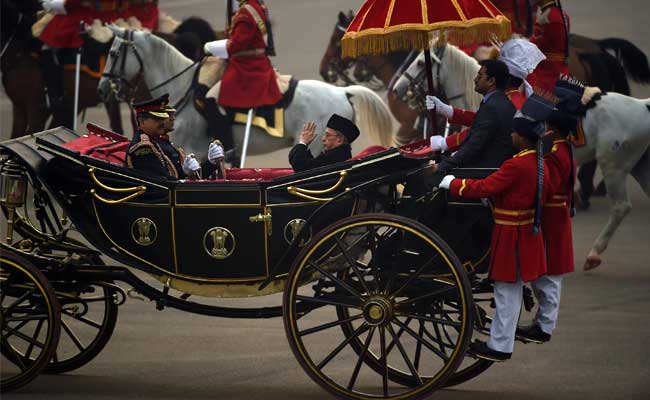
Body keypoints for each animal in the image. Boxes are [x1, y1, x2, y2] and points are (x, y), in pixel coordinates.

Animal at [390, 47, 648, 272]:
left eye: (421, 62)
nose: (397, 90)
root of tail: (642, 105)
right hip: (638, 166)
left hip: (614, 167)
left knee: (621, 206)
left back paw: (592, 253)